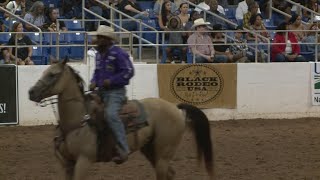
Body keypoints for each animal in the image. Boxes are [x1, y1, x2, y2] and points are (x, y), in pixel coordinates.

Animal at [28, 58, 215, 180]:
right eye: (44, 72)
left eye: (52, 74)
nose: (31, 92)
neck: (76, 122)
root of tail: (175, 107)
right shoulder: (66, 164)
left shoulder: (84, 161)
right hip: (150, 149)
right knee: (170, 173)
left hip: (163, 152)